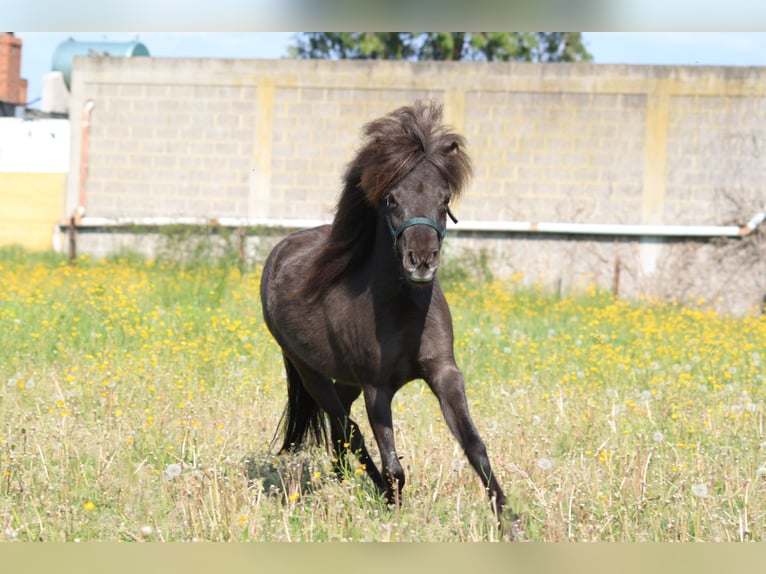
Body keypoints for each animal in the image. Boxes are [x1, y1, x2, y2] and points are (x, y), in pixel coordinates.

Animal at [259, 101, 508, 523]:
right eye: (391, 199)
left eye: (444, 200)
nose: (421, 261)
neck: (403, 312)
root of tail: (280, 252)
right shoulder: (378, 389)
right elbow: (393, 465)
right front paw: (393, 507)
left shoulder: (444, 374)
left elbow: (475, 447)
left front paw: (510, 521)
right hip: (310, 372)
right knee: (348, 428)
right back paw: (366, 485)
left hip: (345, 379)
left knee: (341, 425)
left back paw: (343, 475)